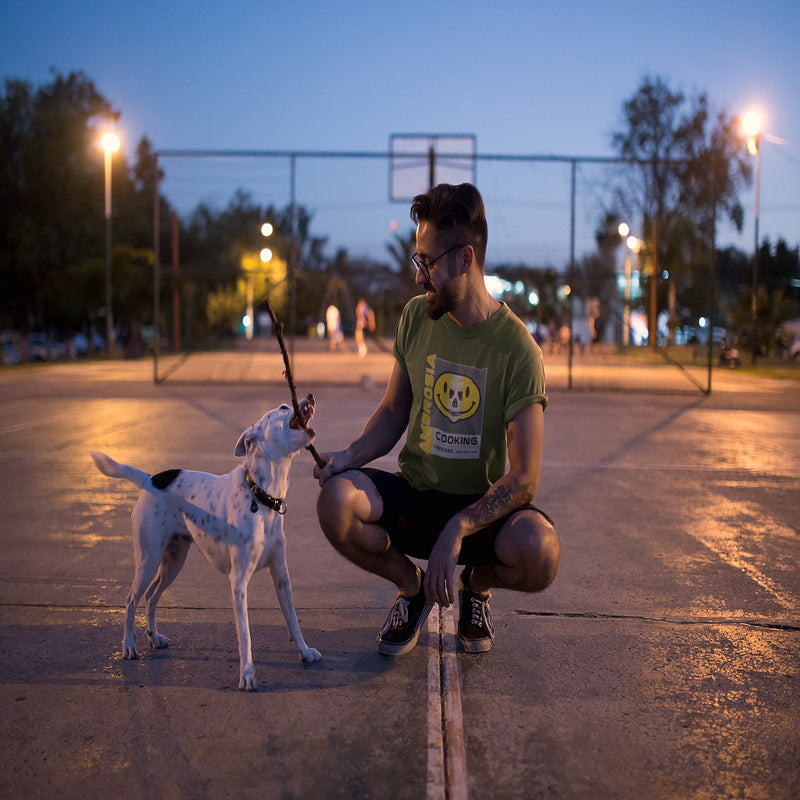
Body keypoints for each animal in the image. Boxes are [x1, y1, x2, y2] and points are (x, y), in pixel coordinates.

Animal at [89, 396, 320, 692]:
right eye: (282, 407)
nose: (309, 396)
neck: (260, 495)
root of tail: (150, 479)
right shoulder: (238, 581)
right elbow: (245, 635)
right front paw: (247, 674)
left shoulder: (281, 575)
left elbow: (293, 619)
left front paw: (304, 652)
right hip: (149, 560)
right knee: (131, 599)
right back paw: (129, 645)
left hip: (174, 561)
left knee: (151, 596)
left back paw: (154, 637)